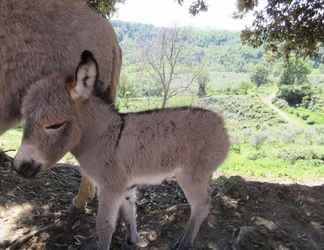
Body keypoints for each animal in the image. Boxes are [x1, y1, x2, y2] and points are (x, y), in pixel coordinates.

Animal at [13, 50, 230, 250]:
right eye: (24, 120)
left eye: (54, 125)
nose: (19, 167)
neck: (101, 137)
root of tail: (221, 123)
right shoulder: (125, 185)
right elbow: (129, 214)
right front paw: (133, 240)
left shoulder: (110, 186)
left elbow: (104, 226)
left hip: (191, 175)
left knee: (201, 205)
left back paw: (185, 242)